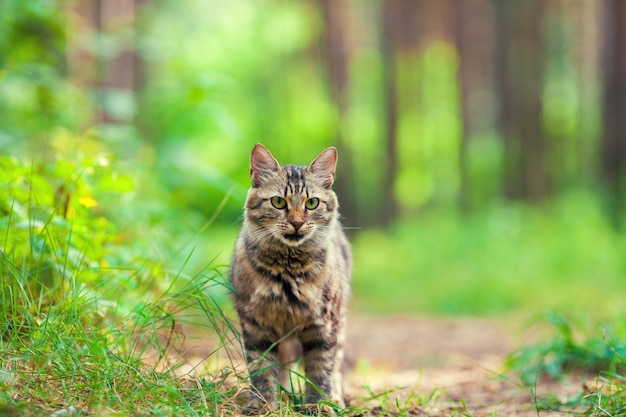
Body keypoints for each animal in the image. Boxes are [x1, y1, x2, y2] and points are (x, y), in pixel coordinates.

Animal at [228, 144, 352, 412]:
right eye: (278, 202)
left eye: (312, 203)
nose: (296, 222)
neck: (288, 271)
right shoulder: (256, 326)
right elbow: (262, 370)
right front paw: (264, 404)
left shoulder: (324, 326)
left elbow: (320, 371)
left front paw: (319, 405)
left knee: (336, 366)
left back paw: (336, 399)